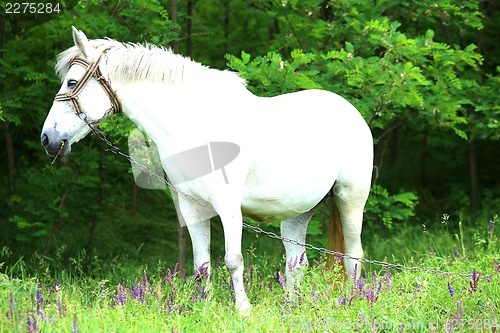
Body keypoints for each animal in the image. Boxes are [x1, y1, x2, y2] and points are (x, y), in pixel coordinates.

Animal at [41, 26, 374, 314]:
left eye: (71, 83)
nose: (48, 139)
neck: (194, 125)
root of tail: (352, 112)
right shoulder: (193, 208)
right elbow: (202, 266)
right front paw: (203, 308)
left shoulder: (228, 207)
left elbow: (233, 260)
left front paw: (243, 311)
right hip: (297, 212)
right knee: (296, 263)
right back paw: (291, 308)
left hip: (350, 199)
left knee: (353, 257)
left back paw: (352, 302)